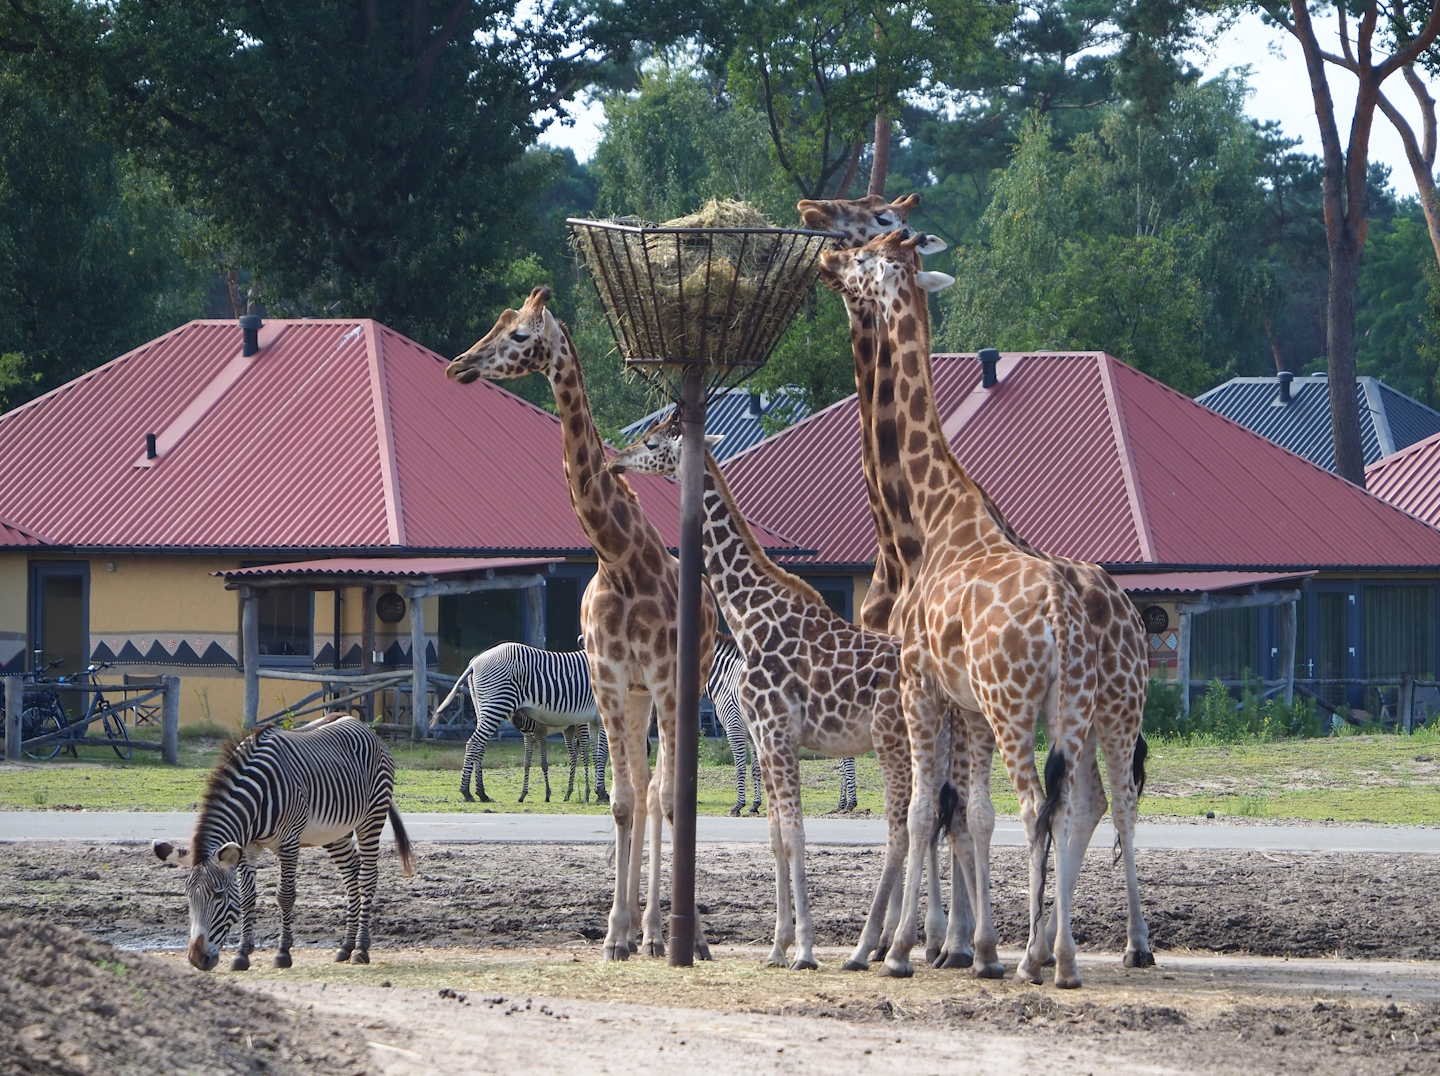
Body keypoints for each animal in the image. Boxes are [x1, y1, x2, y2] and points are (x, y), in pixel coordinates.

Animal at [152, 713, 414, 971]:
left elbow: (285, 895)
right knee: (351, 872)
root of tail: (359, 722)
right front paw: (242, 954)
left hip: (372, 816)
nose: (197, 959)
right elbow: (248, 898)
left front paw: (283, 953)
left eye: (218, 896)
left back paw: (360, 948)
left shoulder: (289, 843)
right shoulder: (248, 846)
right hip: (334, 832)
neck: (257, 799)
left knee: (367, 876)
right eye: (188, 897)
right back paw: (346, 947)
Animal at [436, 642, 609, 804]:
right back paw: (467, 792)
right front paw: (602, 793)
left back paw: (482, 793)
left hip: (482, 707)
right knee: (474, 743)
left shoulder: (595, 720)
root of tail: (475, 661)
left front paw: (598, 792)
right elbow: (603, 754)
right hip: (496, 704)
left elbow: (597, 754)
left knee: (480, 746)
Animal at [710, 635, 859, 815]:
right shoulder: (751, 733)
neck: (726, 679)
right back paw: (842, 804)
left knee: (848, 760)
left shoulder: (734, 726)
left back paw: (850, 803)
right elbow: (756, 769)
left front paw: (738, 805)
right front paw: (755, 805)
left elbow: (740, 768)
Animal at [803, 199, 1153, 972]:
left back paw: (1043, 954)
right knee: (1089, 803)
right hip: (1088, 711)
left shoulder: (916, 686)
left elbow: (925, 812)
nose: (820, 251)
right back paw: (1078, 950)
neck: (925, 522)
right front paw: (962, 941)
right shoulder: (961, 702)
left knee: (1044, 806)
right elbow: (965, 812)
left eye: (866, 245)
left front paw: (909, 945)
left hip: (1030, 706)